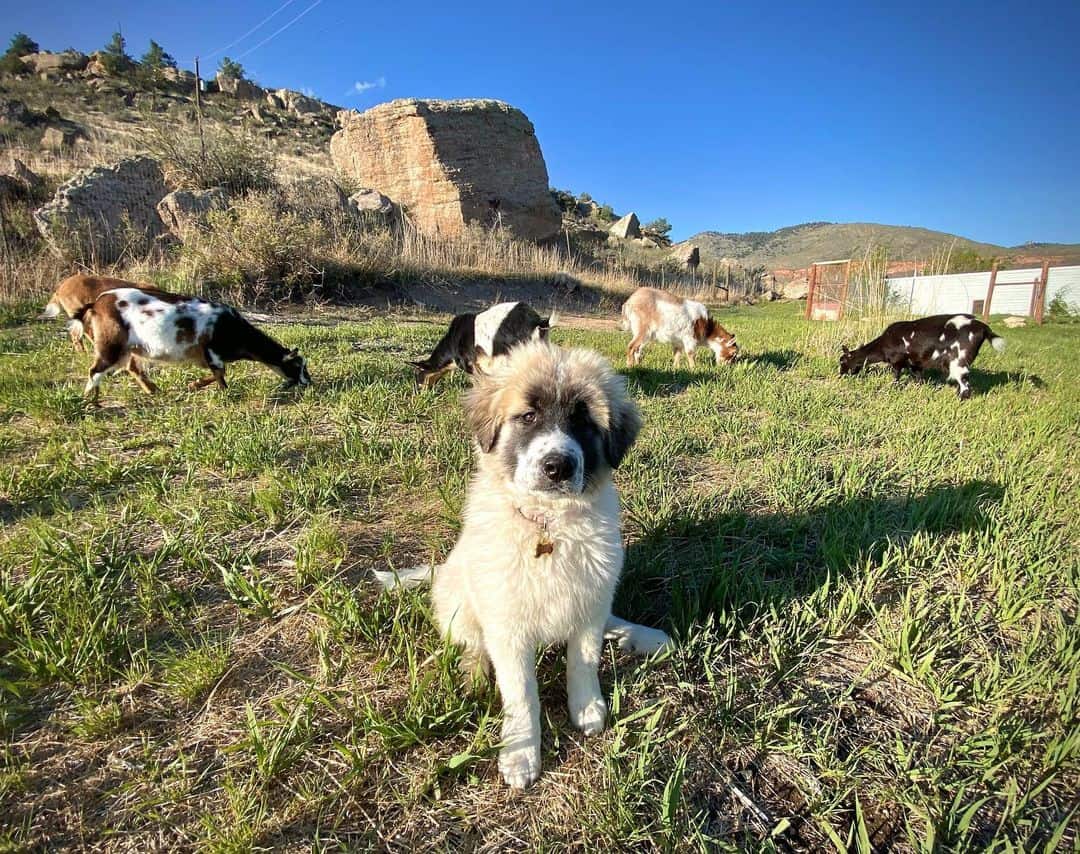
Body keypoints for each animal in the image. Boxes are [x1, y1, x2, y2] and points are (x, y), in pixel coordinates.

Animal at [73, 282, 311, 397]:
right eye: (297, 366)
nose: (308, 382)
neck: (232, 327)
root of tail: (96, 304)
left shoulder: (206, 355)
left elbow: (215, 374)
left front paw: (194, 385)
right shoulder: (212, 351)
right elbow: (220, 374)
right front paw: (221, 393)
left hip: (128, 347)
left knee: (129, 367)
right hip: (111, 343)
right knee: (95, 370)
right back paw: (90, 401)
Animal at [375, 339, 669, 790]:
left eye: (584, 422)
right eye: (528, 417)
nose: (558, 467)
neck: (547, 525)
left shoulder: (587, 599)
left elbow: (583, 660)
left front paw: (587, 708)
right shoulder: (506, 621)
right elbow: (520, 692)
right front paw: (520, 751)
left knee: (608, 619)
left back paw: (641, 635)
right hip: (460, 598)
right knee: (471, 643)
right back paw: (474, 673)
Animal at [838, 313, 1006, 399]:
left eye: (842, 361)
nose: (840, 375)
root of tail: (983, 328)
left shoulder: (897, 361)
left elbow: (896, 376)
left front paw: (893, 388)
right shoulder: (915, 363)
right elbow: (918, 378)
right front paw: (918, 390)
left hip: (958, 361)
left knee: (965, 385)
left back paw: (958, 400)